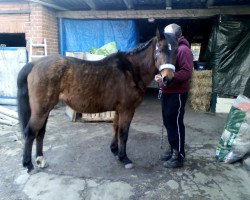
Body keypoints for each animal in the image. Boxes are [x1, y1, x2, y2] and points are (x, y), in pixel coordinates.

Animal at [17, 29, 178, 172]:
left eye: (176, 51)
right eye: (160, 49)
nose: (168, 79)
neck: (131, 70)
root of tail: (35, 64)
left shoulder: (119, 109)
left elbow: (115, 128)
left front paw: (115, 151)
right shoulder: (127, 109)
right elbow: (123, 133)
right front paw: (124, 158)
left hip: (45, 110)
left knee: (40, 132)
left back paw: (40, 160)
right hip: (41, 110)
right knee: (31, 132)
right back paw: (28, 164)